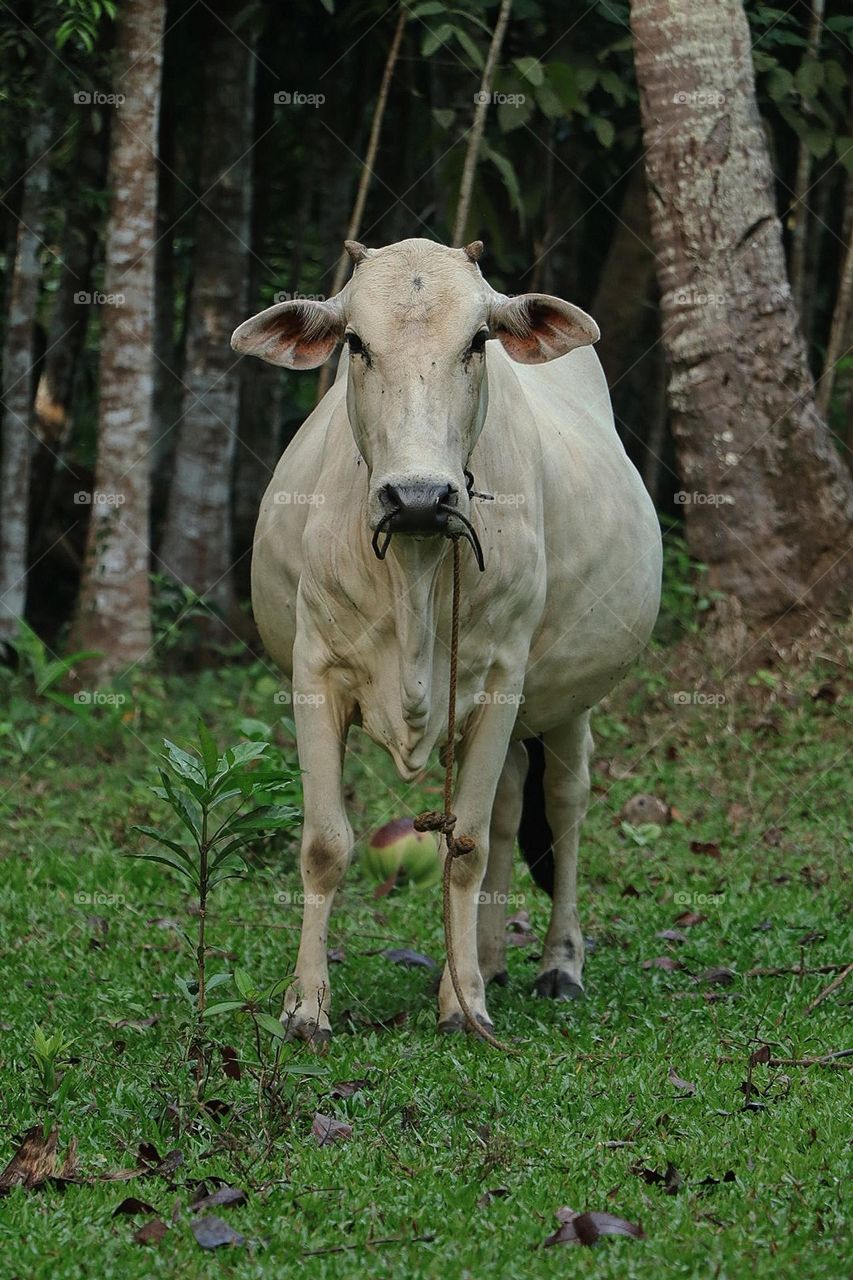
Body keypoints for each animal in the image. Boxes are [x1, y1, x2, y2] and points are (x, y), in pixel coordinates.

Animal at [231, 238, 661, 1045]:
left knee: (562, 807)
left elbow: (464, 850)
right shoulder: (314, 673)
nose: (419, 497)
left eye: (478, 339)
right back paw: (485, 961)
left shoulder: (500, 680)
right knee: (507, 812)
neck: (415, 563)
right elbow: (326, 844)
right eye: (355, 343)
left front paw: (463, 1007)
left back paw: (556, 965)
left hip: (565, 701)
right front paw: (305, 1008)